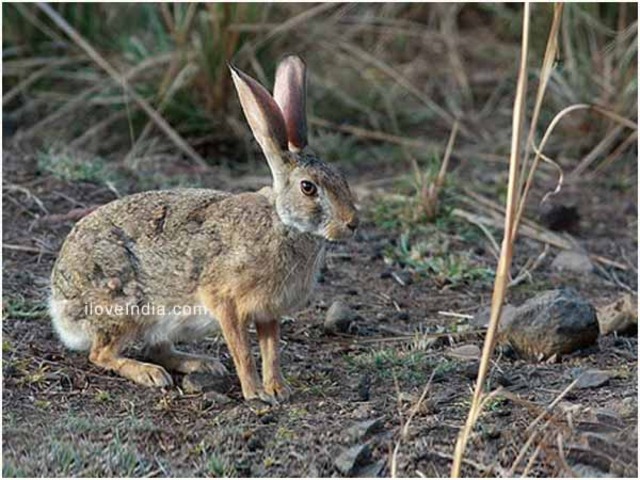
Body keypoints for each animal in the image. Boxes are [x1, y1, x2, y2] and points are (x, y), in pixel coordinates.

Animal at [49, 55, 358, 404]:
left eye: (342, 178)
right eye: (308, 188)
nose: (352, 223)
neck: (283, 223)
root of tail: (58, 299)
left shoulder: (268, 312)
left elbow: (271, 351)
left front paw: (279, 389)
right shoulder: (225, 301)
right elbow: (243, 351)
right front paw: (255, 394)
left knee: (158, 349)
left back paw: (202, 364)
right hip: (124, 305)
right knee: (101, 354)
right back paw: (150, 374)